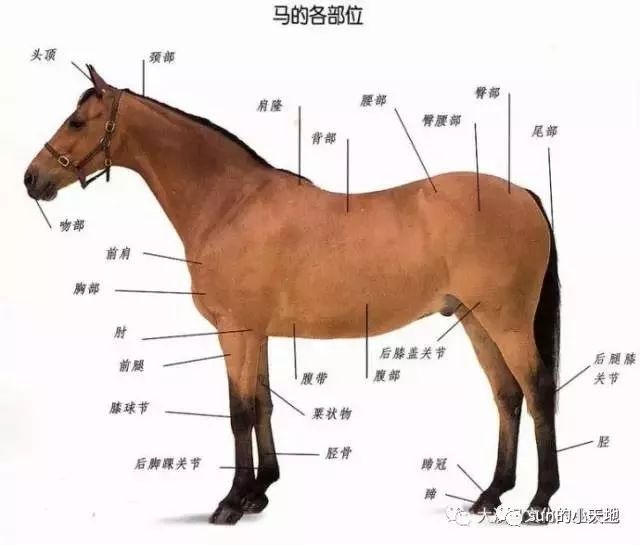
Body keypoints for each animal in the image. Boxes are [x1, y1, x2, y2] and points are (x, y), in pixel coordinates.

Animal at [24, 65, 560, 525]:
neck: (230, 204)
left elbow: (238, 411)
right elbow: (262, 404)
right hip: (475, 319)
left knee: (537, 392)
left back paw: (539, 500)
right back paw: (491, 495)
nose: (32, 179)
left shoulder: (235, 330)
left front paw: (231, 502)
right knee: (507, 395)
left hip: (506, 320)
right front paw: (260, 492)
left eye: (77, 121)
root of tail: (524, 195)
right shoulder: (257, 333)